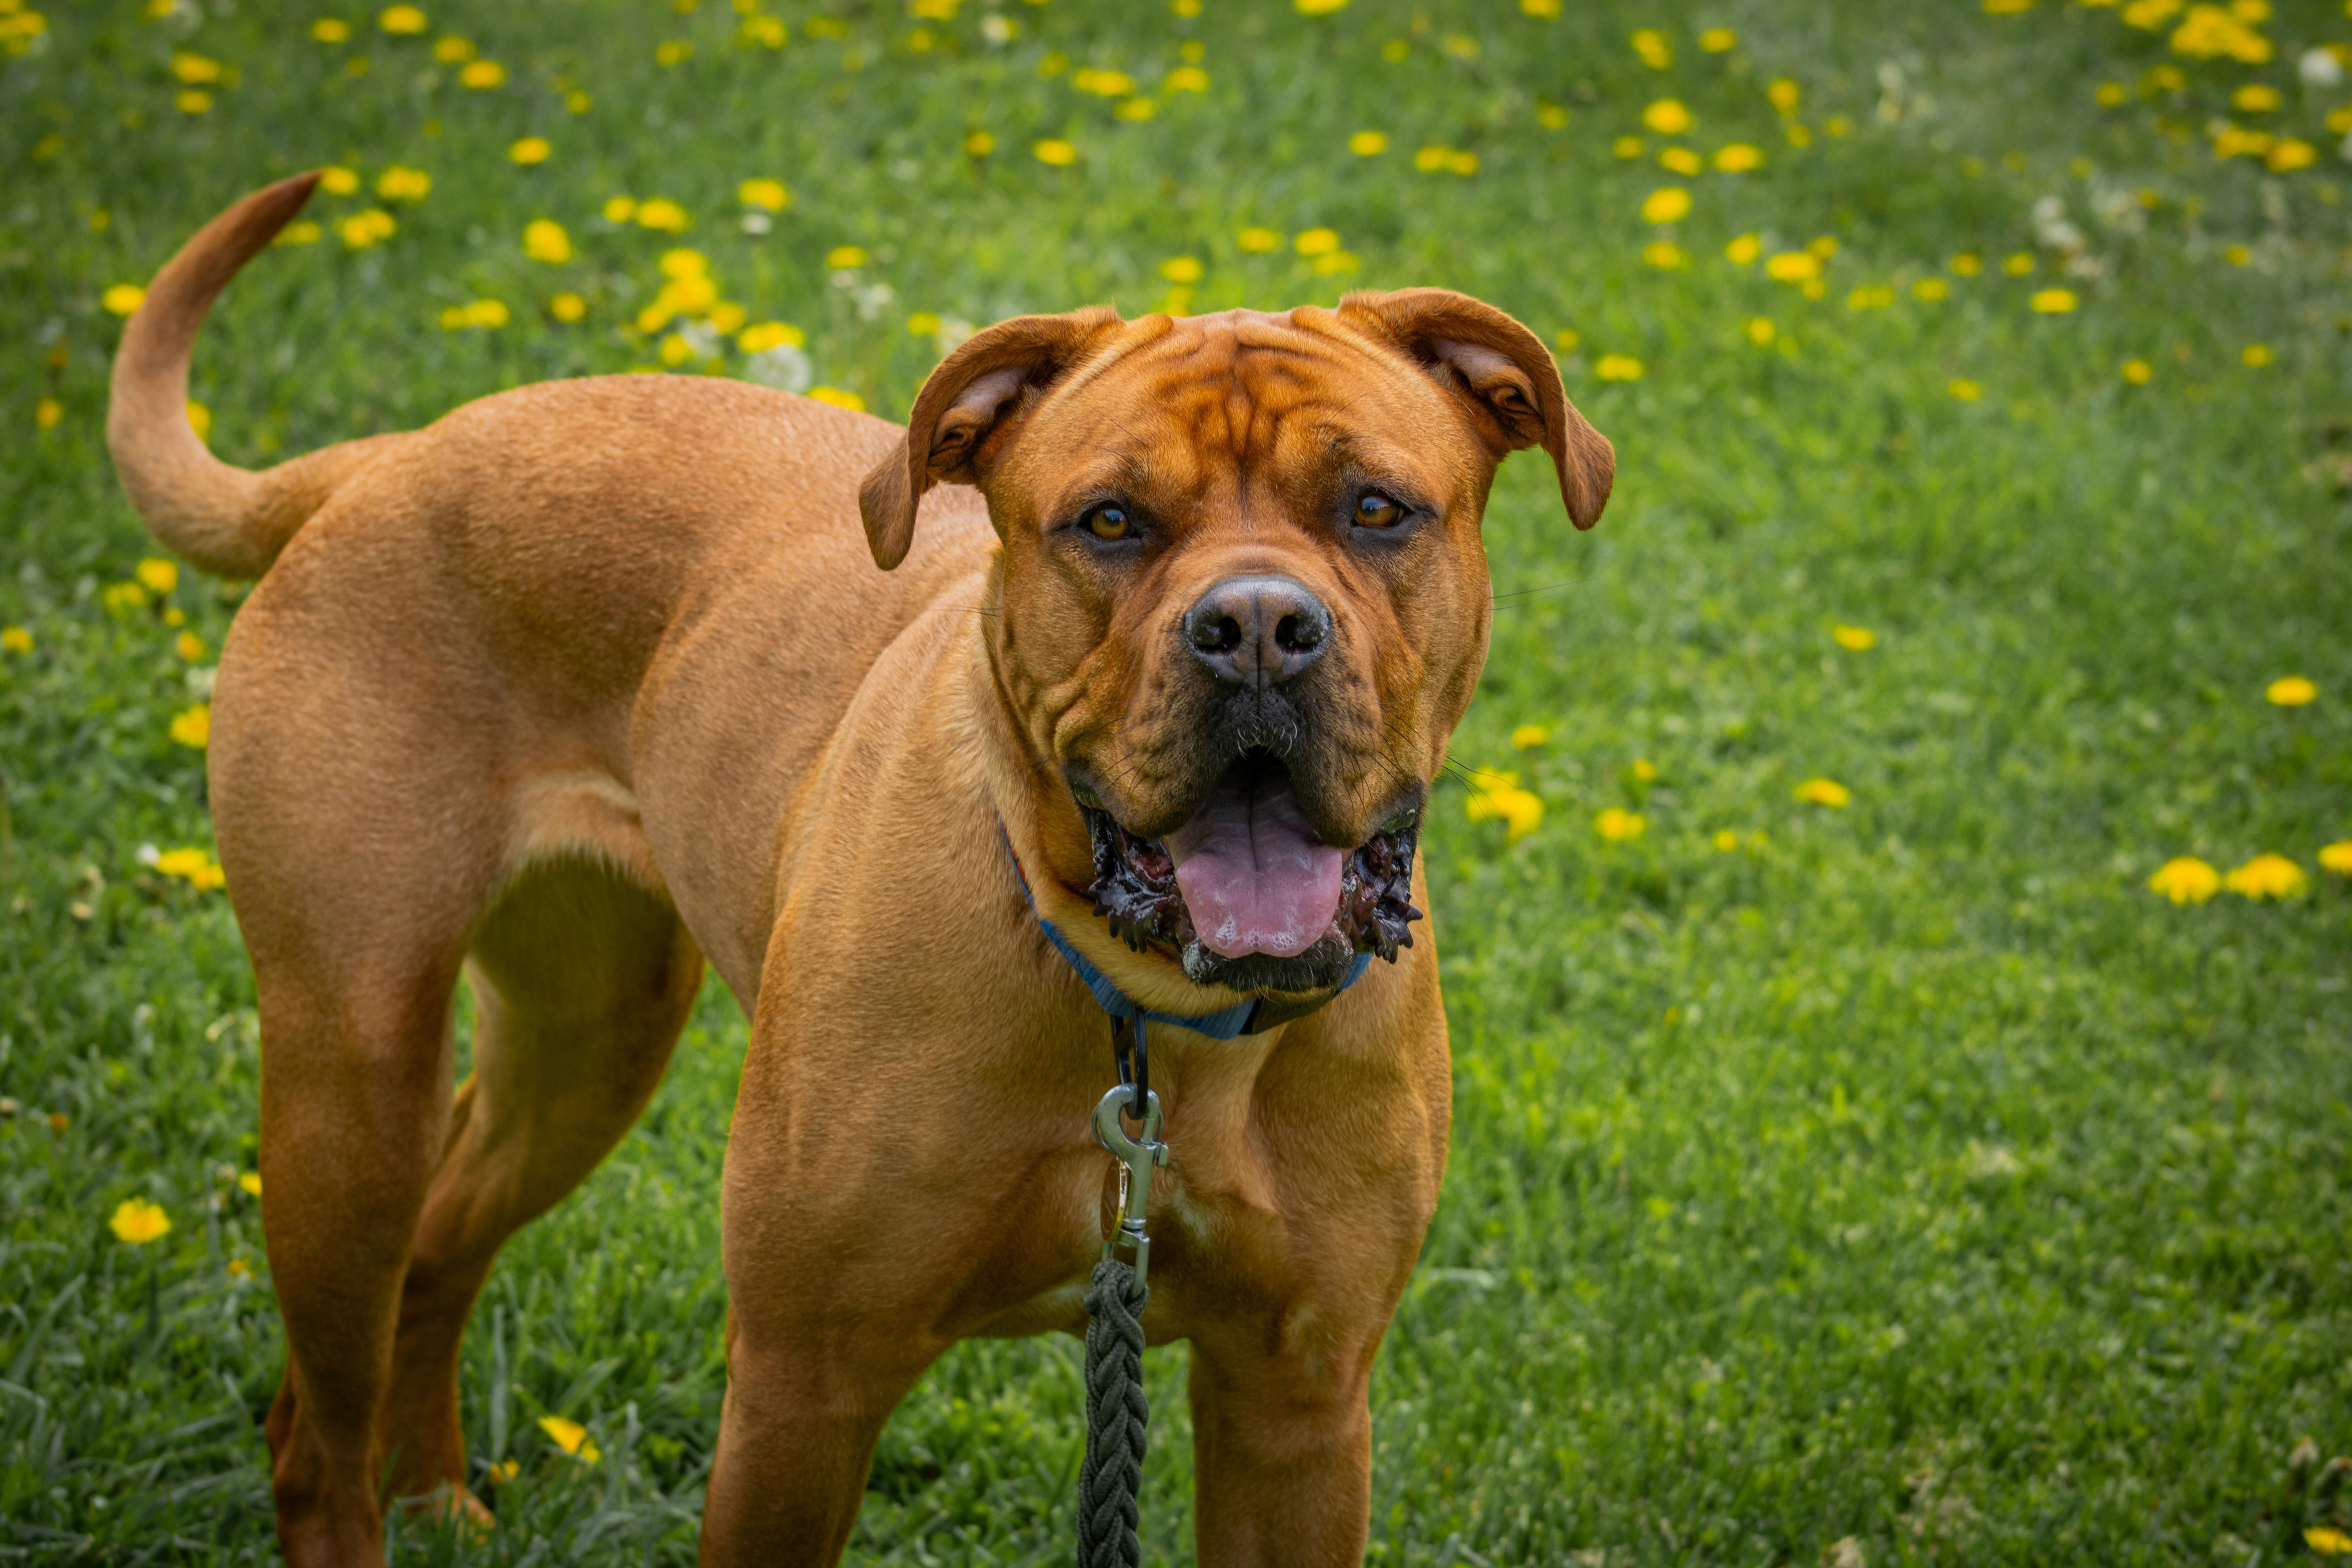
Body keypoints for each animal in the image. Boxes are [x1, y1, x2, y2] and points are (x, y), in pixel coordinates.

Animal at [114, 177, 1618, 1561]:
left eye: (1375, 509)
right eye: (1111, 522)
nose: (1255, 628)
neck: (1154, 1020)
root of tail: (384, 458)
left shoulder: (1293, 1402)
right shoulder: (805, 1387)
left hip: (585, 1044)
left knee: (437, 1257)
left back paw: (436, 1498)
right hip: (351, 1083)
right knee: (322, 1427)